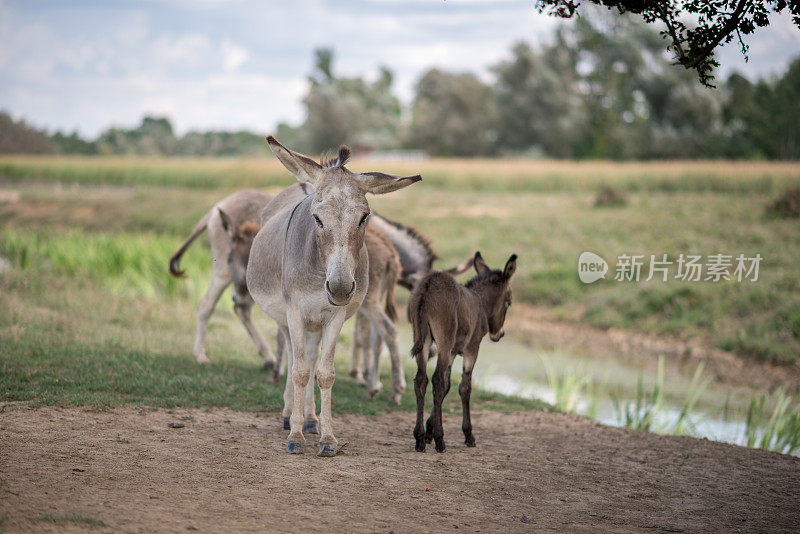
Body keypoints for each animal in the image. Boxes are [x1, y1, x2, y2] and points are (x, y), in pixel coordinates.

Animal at [410, 253, 516, 454]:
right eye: (508, 303)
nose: (500, 334)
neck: (480, 302)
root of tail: (430, 284)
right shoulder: (471, 349)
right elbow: (464, 387)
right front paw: (468, 435)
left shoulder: (452, 353)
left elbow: (447, 386)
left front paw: (429, 431)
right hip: (444, 339)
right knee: (435, 380)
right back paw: (440, 441)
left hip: (423, 338)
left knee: (421, 379)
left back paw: (419, 438)